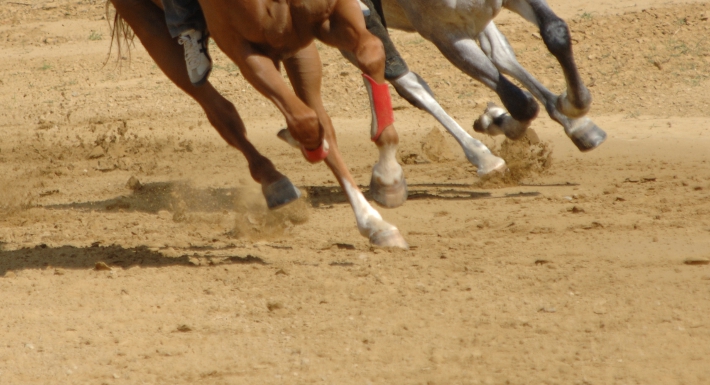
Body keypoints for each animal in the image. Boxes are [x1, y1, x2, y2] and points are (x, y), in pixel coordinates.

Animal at [108, 0, 408, 246]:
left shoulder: (321, 25)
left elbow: (371, 53)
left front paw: (387, 179)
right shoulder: (246, 51)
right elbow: (304, 122)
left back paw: (373, 221)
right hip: (149, 29)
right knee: (222, 113)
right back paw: (274, 181)